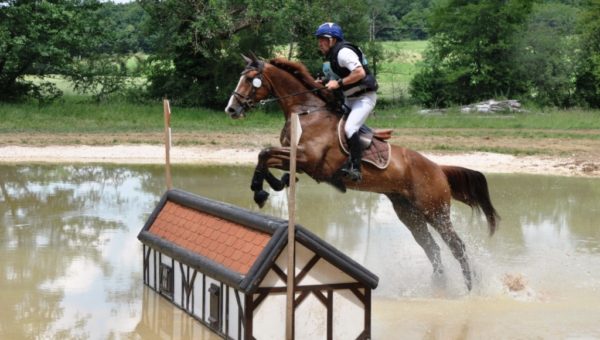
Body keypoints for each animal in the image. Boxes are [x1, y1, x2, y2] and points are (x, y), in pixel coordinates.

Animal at [224, 54, 496, 290]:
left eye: (251, 79)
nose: (231, 109)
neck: (306, 110)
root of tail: (438, 168)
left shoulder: (308, 160)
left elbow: (265, 153)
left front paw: (261, 191)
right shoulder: (297, 159)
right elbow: (265, 156)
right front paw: (272, 186)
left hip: (435, 211)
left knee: (457, 246)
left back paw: (470, 288)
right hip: (409, 213)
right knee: (432, 249)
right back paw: (440, 286)